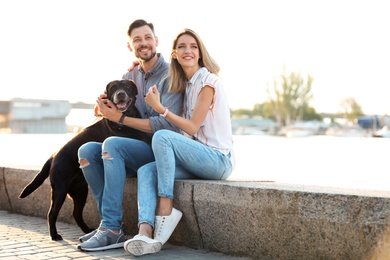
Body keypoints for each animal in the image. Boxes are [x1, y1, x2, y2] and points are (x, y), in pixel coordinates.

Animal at [17, 79, 148, 240]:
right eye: (113, 88)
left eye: (127, 86)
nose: (120, 94)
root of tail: (54, 156)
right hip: (60, 189)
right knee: (52, 213)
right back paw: (55, 235)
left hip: (80, 191)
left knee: (76, 213)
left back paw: (86, 230)